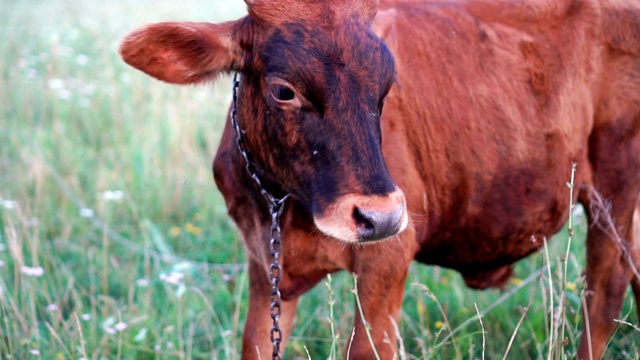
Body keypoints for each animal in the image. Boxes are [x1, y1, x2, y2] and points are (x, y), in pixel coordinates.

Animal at [121, 0, 640, 358]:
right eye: (284, 90)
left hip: (614, 186)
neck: (286, 206)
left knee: (603, 295)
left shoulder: (387, 261)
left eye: (386, 87)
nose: (381, 216)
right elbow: (256, 342)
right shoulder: (262, 263)